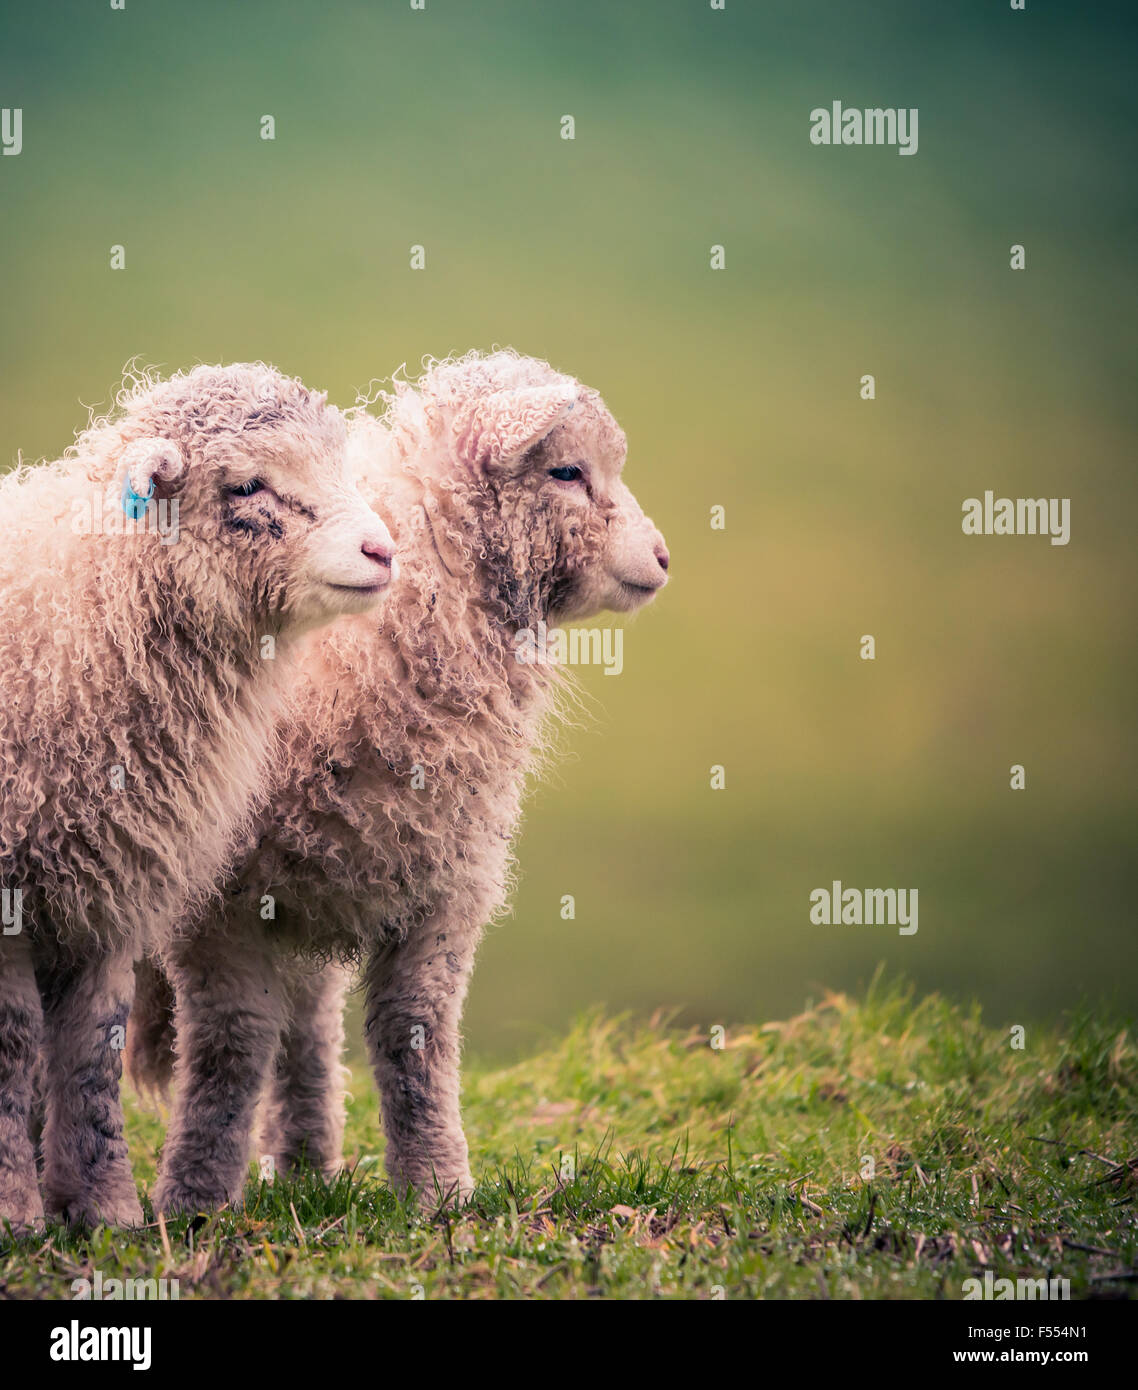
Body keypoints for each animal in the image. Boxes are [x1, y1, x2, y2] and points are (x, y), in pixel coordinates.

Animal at [0, 362, 396, 1231]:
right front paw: (15, 1211)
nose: (383, 550)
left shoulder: (108, 883)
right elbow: (13, 1042)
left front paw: (103, 1209)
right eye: (248, 484)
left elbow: (93, 1044)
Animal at [131, 349, 670, 1215]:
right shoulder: (222, 903)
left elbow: (413, 1033)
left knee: (309, 1021)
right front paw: (195, 1199)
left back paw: (307, 1160)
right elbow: (228, 1045)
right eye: (566, 471)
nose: (662, 559)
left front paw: (436, 1188)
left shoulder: (441, 881)